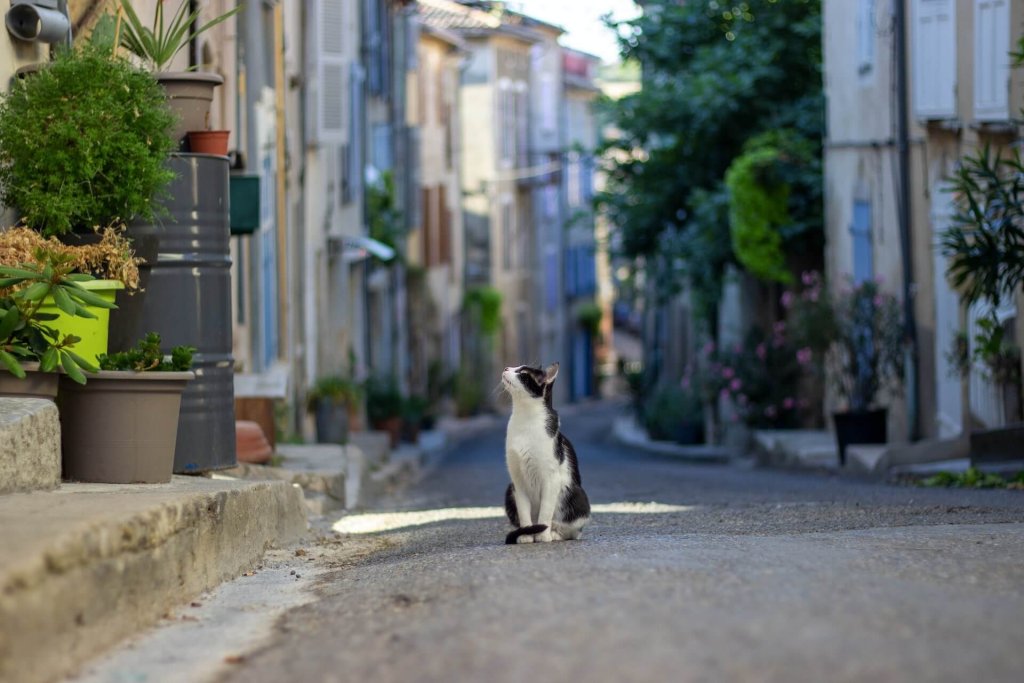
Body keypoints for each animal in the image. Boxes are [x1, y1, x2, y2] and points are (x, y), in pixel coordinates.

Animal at [499, 362, 589, 544]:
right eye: (515, 367)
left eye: (523, 373)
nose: (506, 368)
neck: (525, 418)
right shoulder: (518, 481)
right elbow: (524, 512)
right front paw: (526, 535)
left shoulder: (551, 479)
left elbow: (546, 511)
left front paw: (542, 535)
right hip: (509, 490)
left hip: (576, 494)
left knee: (572, 530)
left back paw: (554, 534)